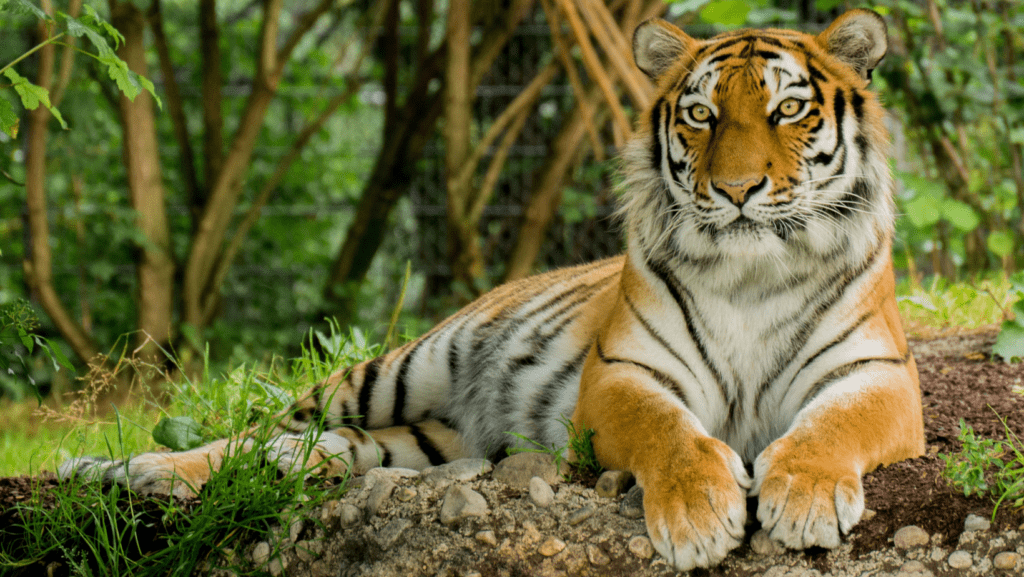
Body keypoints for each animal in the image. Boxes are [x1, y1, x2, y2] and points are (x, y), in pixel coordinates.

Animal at [64, 10, 929, 573]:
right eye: (700, 115)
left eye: (789, 110)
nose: (738, 190)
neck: (752, 272)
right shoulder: (622, 376)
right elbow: (670, 434)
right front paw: (698, 514)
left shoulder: (874, 376)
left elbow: (831, 428)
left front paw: (805, 497)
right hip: (394, 369)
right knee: (259, 430)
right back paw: (135, 470)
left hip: (421, 441)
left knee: (310, 449)